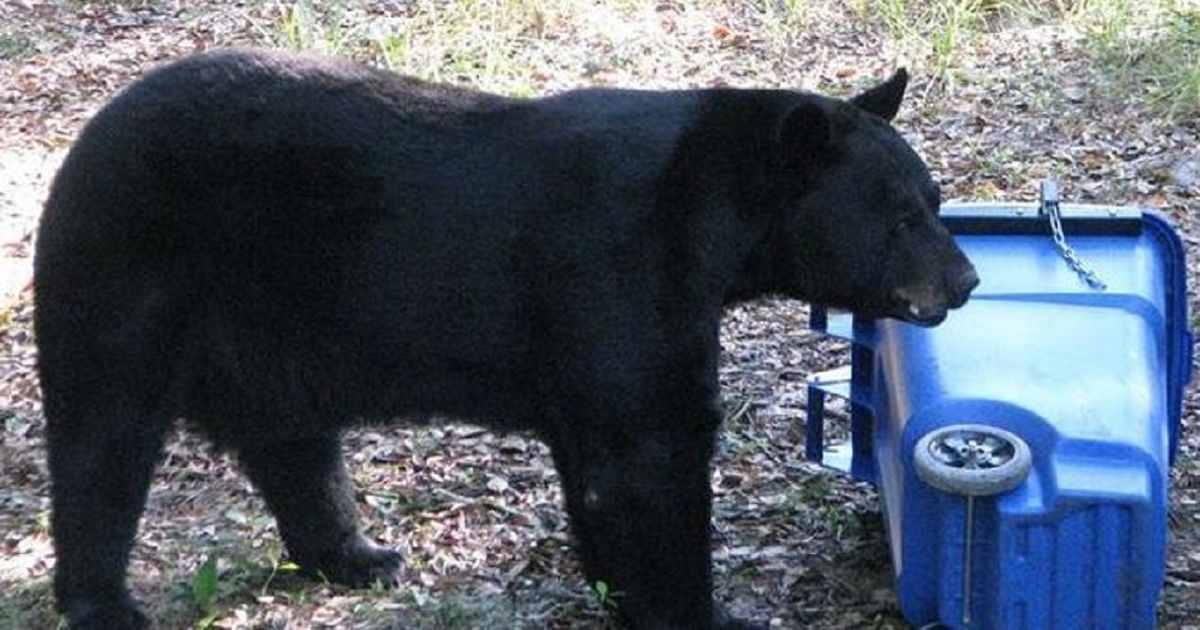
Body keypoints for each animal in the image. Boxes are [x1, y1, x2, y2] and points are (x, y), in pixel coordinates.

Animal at [33, 48, 977, 629]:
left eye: (934, 201)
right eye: (902, 217)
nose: (965, 280)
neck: (711, 225)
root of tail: (89, 136)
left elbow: (602, 463)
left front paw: (620, 590)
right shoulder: (619, 270)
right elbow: (652, 451)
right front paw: (701, 609)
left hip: (274, 321)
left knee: (291, 441)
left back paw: (359, 555)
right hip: (130, 264)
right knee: (103, 435)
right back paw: (103, 602)